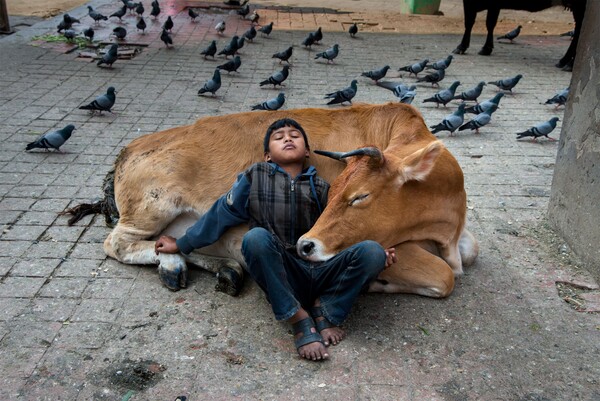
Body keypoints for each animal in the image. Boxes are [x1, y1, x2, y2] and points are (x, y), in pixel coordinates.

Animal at [63, 101, 478, 298]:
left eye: (360, 196)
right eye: (339, 192)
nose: (306, 245)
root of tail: (131, 146)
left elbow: (471, 252)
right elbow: (443, 275)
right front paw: (379, 283)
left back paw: (222, 268)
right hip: (152, 204)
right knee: (117, 243)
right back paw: (175, 263)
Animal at [454, 0, 584, 69]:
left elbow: (469, 22)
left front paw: (461, 47)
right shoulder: (494, 4)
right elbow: (490, 23)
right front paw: (487, 48)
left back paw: (569, 64)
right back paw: (564, 61)